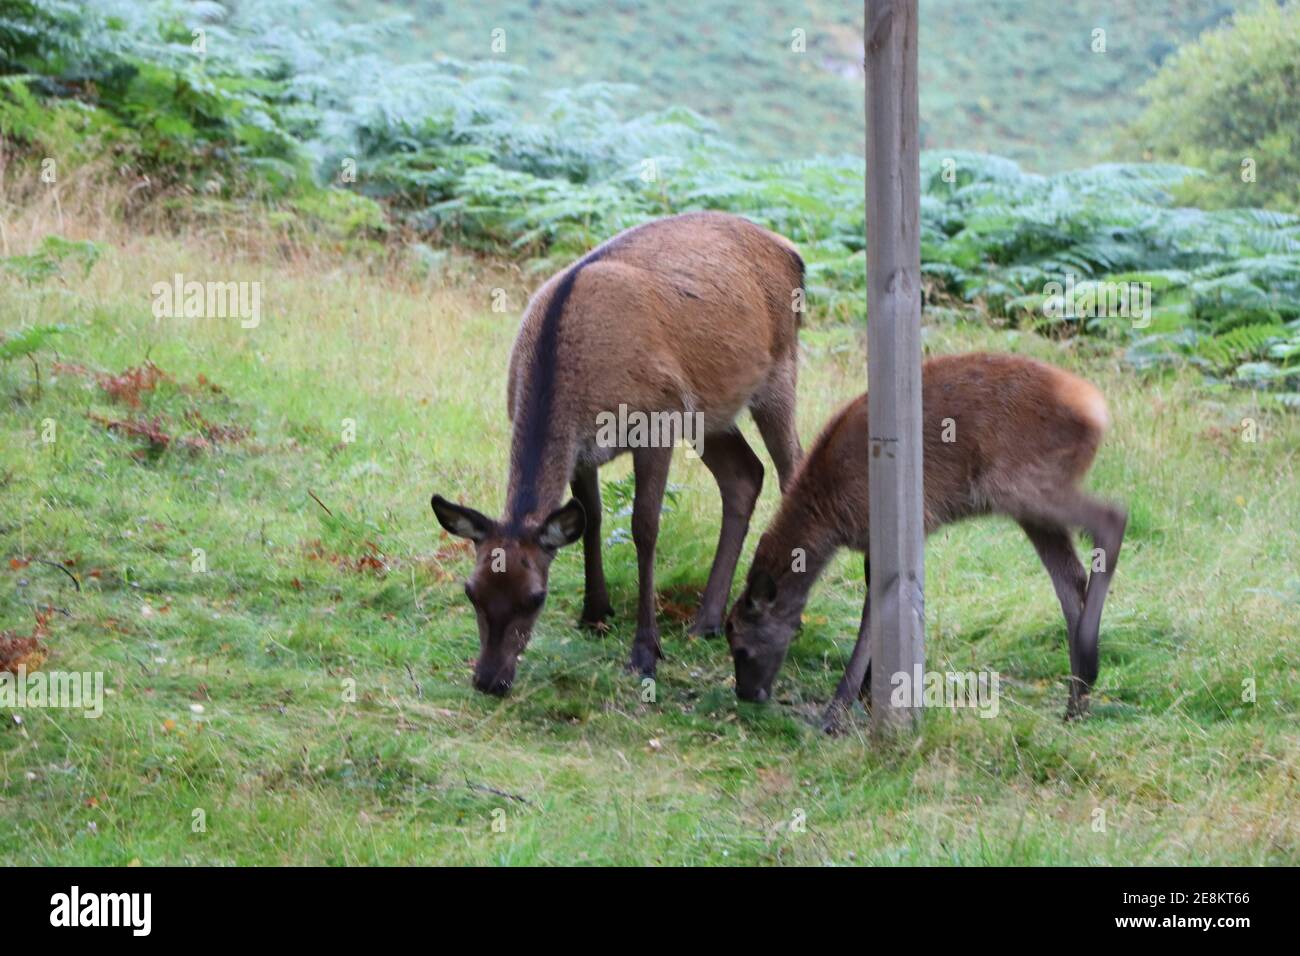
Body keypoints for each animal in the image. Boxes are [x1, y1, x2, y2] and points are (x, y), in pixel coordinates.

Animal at [432, 211, 805, 696]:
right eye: (471, 590)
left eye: (536, 597)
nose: (489, 679)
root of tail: (792, 253)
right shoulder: (584, 450)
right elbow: (590, 517)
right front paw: (594, 613)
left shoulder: (658, 419)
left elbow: (644, 528)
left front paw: (645, 652)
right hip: (710, 412)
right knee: (744, 473)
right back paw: (706, 621)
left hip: (780, 373)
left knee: (791, 467)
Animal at [724, 352, 1127, 730]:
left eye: (741, 646)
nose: (746, 693)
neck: (830, 516)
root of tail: (1096, 408)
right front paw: (866, 696)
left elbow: (874, 615)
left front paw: (837, 712)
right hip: (1026, 503)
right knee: (1070, 582)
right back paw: (1077, 700)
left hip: (1016, 483)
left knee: (1113, 518)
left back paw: (1088, 666)